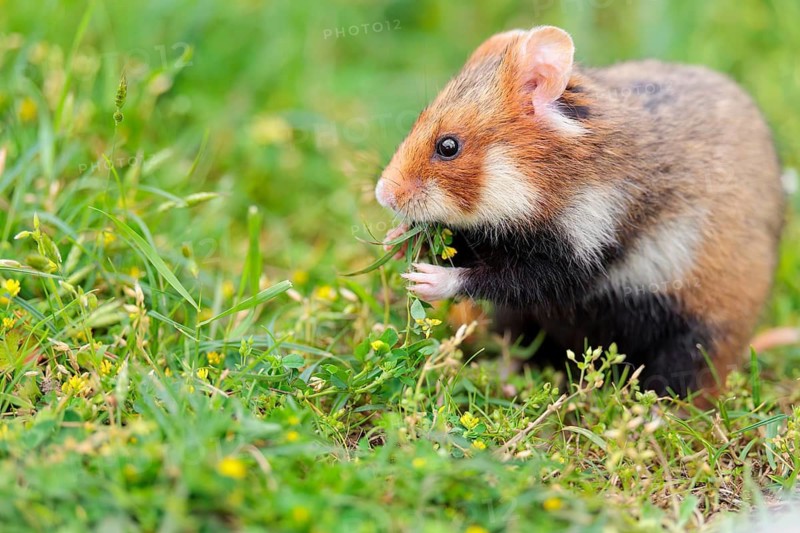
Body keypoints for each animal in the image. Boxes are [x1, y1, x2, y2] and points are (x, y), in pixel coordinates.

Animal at [374, 26, 785, 398]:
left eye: (448, 146)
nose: (383, 195)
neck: (558, 179)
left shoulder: (583, 251)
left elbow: (502, 279)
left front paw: (424, 280)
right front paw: (396, 241)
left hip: (699, 333)